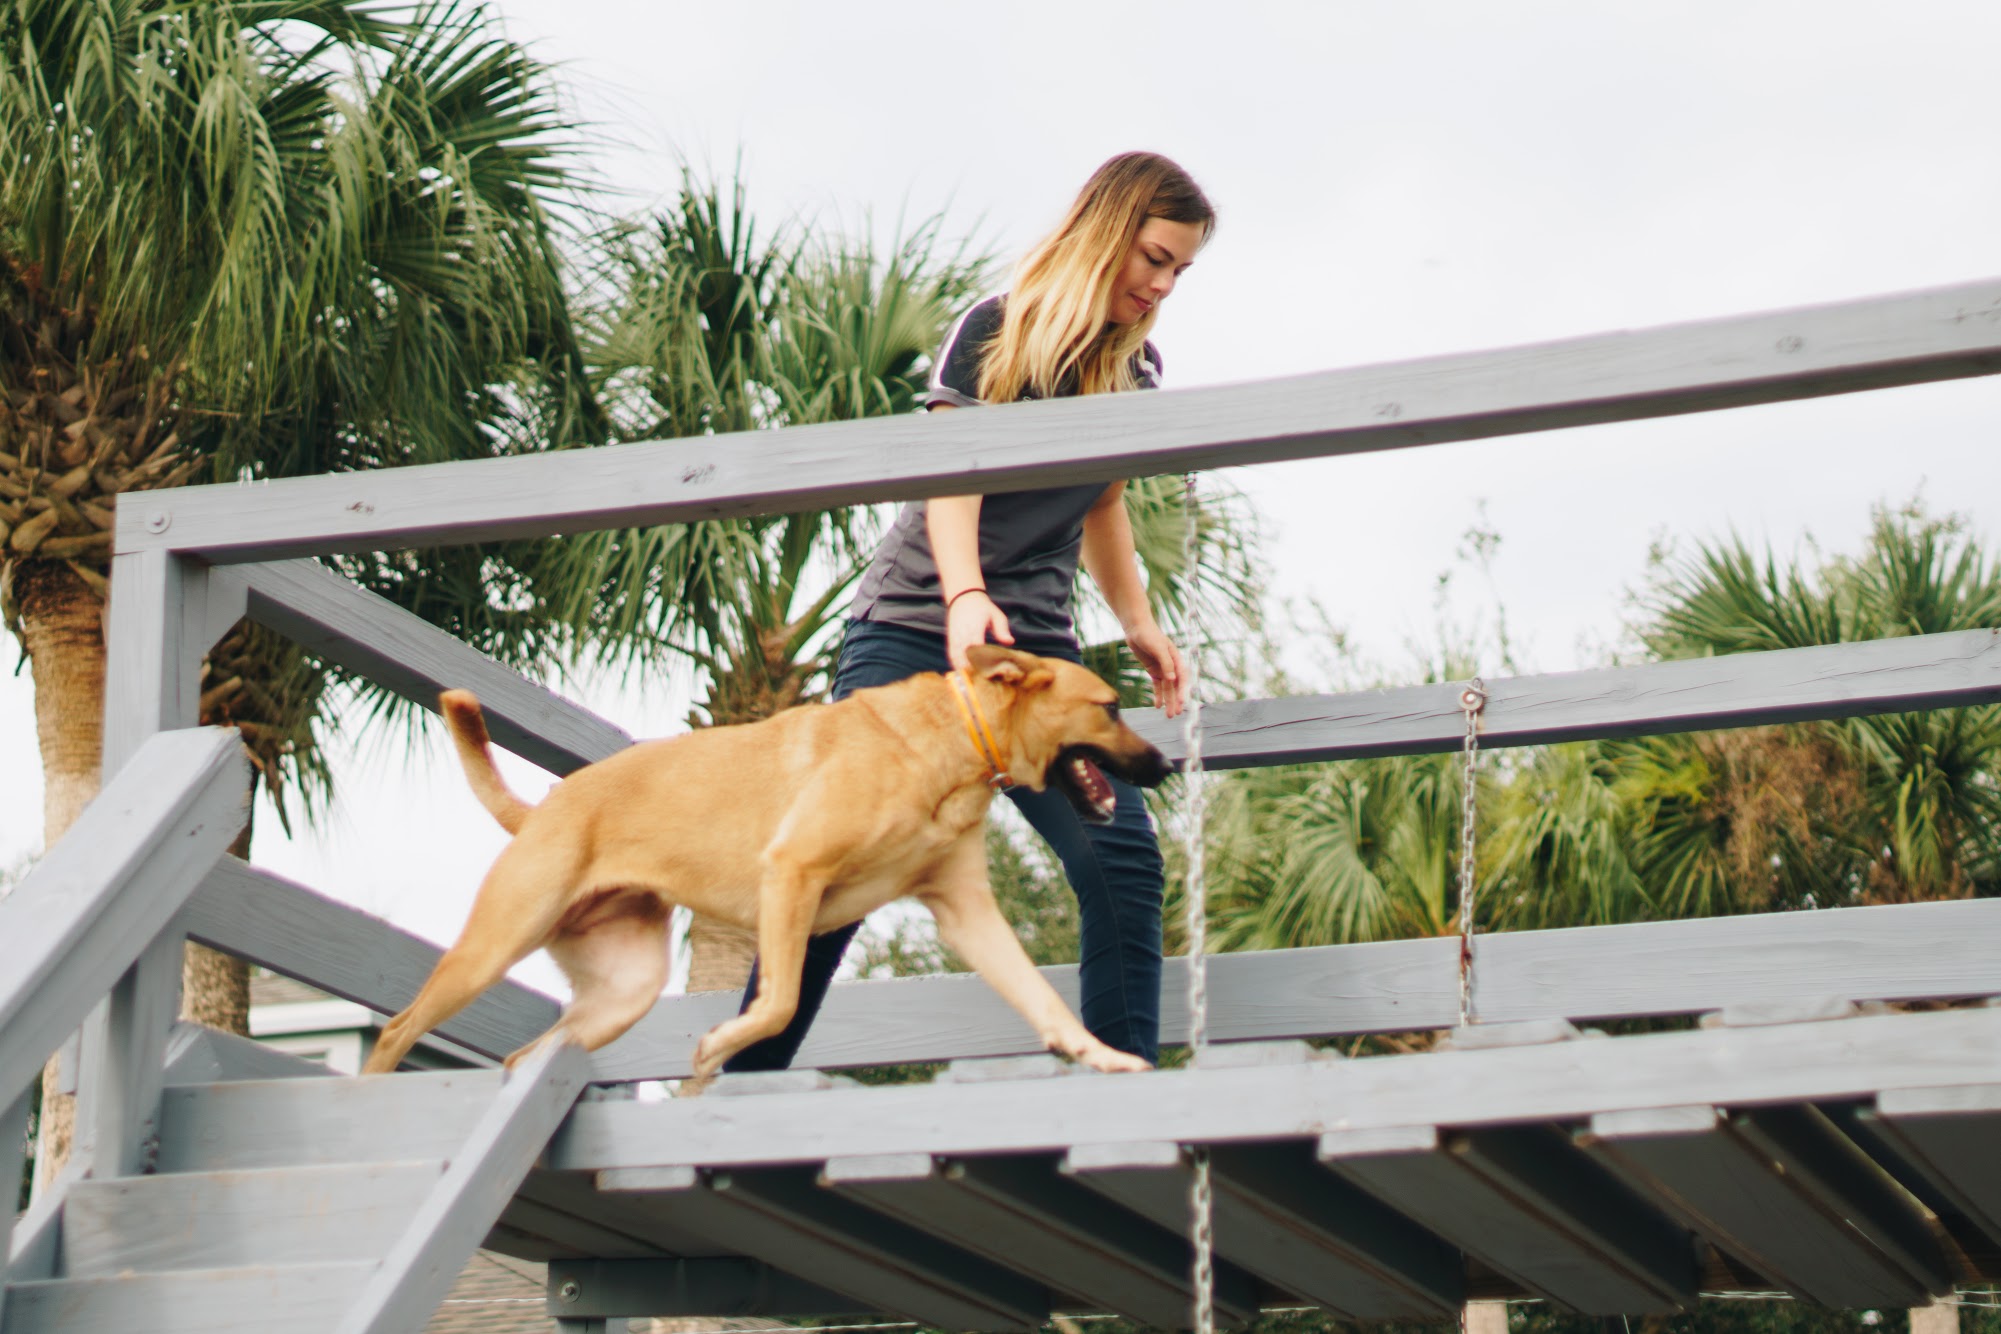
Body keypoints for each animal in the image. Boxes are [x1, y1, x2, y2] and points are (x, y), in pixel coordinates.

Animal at [362, 640, 1168, 1080]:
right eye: (1111, 708)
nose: (1166, 765)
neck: (949, 742)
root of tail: (543, 811)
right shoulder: (793, 875)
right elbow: (776, 1005)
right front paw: (717, 1045)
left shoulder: (967, 912)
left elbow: (1042, 999)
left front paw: (1103, 1056)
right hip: (494, 945)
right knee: (397, 1031)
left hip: (623, 992)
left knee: (519, 1060)